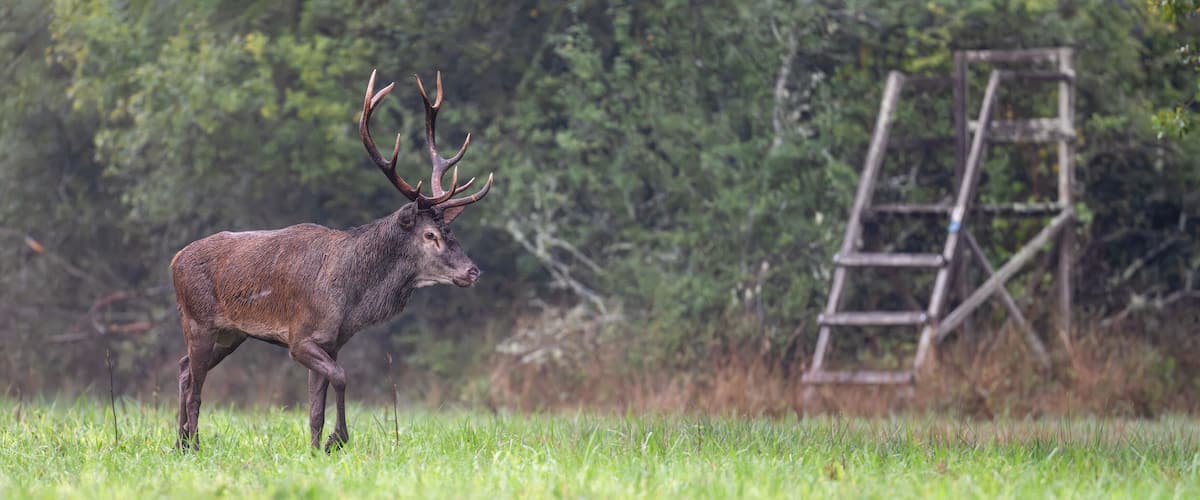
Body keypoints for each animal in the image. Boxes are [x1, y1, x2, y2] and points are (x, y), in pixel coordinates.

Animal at [170, 70, 492, 452]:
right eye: (430, 235)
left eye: (450, 230)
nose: (472, 271)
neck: (350, 299)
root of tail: (174, 260)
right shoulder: (301, 337)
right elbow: (341, 377)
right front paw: (337, 440)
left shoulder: (331, 342)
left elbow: (314, 408)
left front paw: (314, 449)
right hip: (198, 321)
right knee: (195, 383)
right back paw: (192, 444)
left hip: (230, 334)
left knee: (184, 369)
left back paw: (179, 442)